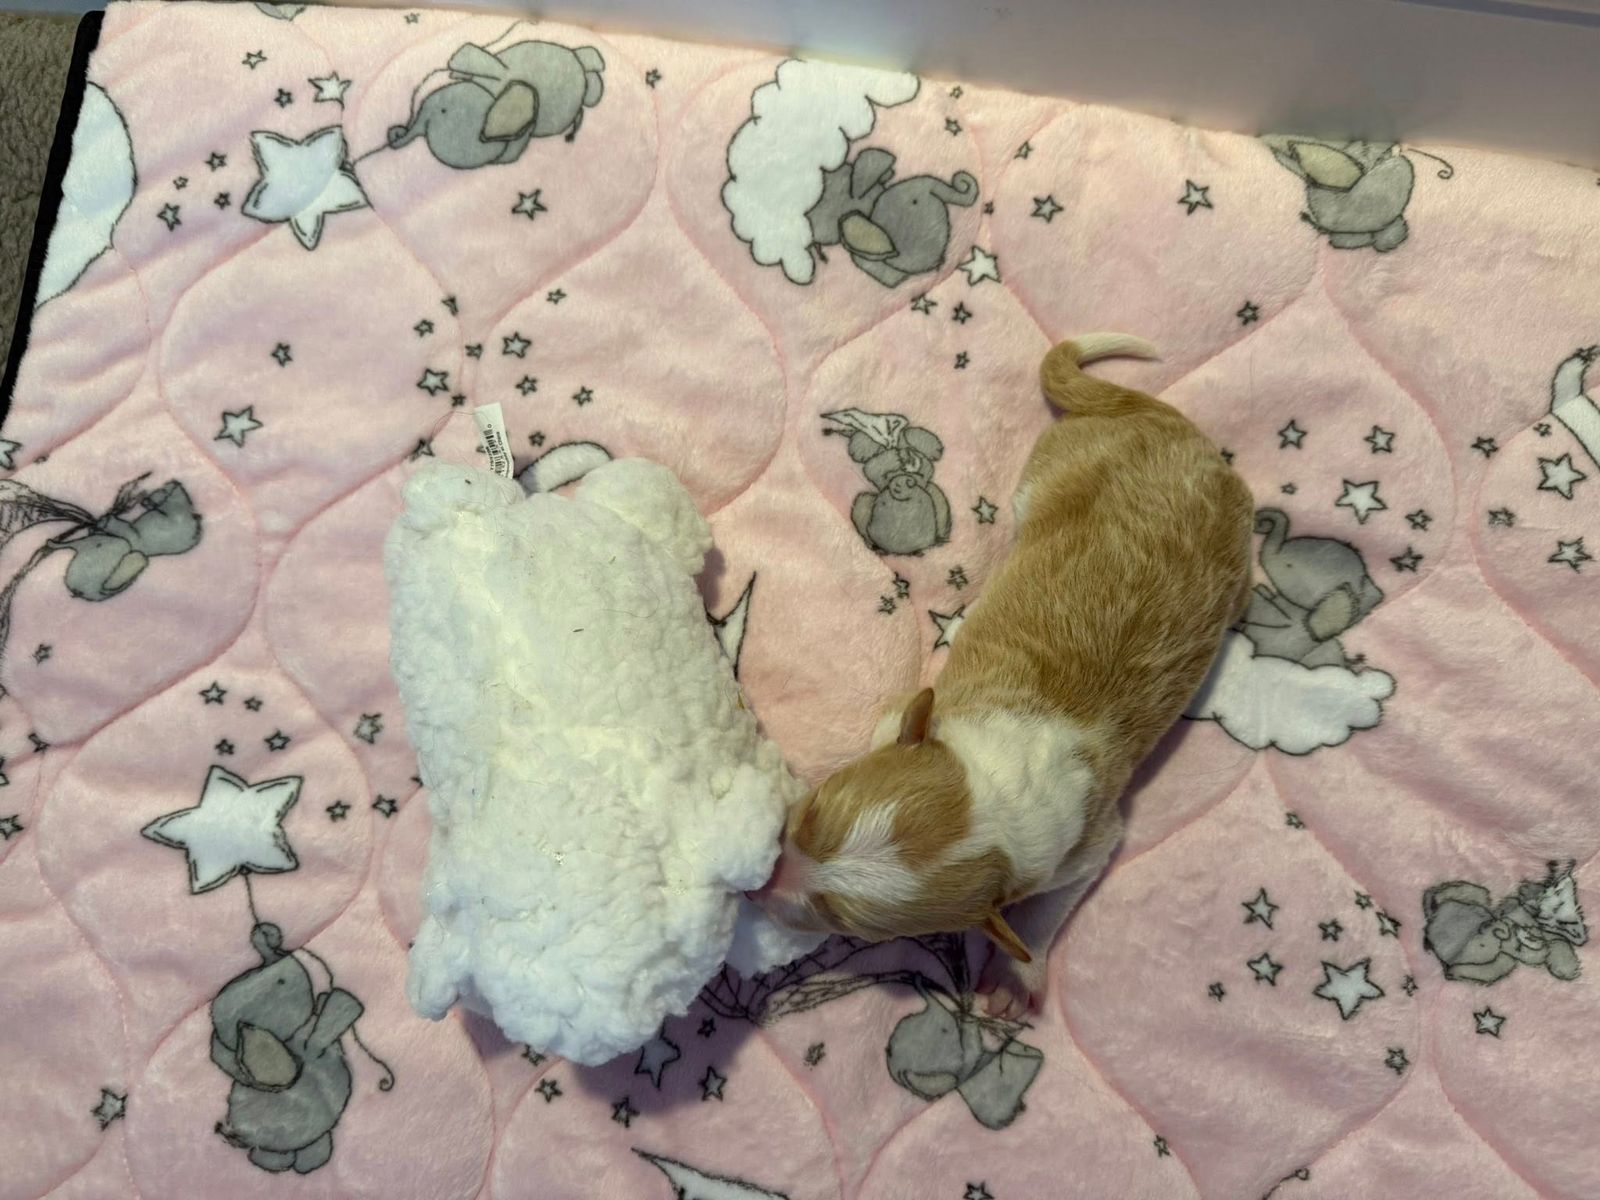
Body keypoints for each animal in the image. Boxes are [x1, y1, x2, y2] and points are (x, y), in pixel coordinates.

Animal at [751, 335, 1254, 1017]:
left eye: (840, 921)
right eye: (812, 813)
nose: (758, 885)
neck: (994, 791)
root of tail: (1177, 429)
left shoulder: (1085, 844)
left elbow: (1049, 904)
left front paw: (1020, 975)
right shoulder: (909, 713)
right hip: (1055, 468)